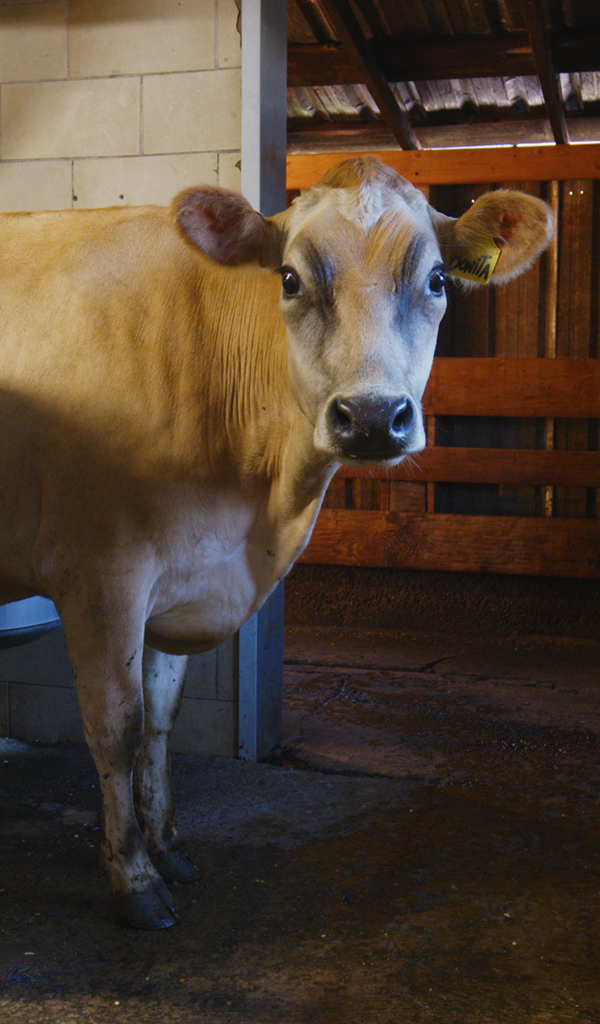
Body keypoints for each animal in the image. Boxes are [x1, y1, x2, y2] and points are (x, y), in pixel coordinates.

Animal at [0, 157, 553, 928]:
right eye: (289, 279)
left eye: (439, 279)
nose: (372, 417)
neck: (254, 509)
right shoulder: (101, 578)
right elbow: (117, 727)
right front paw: (134, 876)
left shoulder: (184, 581)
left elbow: (161, 723)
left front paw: (168, 845)